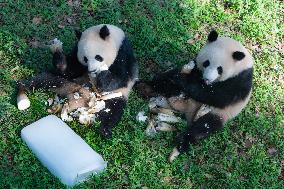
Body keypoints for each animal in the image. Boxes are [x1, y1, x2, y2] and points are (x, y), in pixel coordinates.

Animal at [138, 30, 253, 161]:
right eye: (206, 63)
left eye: (220, 69)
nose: (207, 78)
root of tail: (187, 109)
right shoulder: (196, 68)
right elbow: (186, 71)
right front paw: (178, 76)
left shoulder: (240, 80)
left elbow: (218, 96)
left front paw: (182, 79)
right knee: (165, 84)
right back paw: (146, 87)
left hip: (219, 114)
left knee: (202, 127)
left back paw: (181, 143)